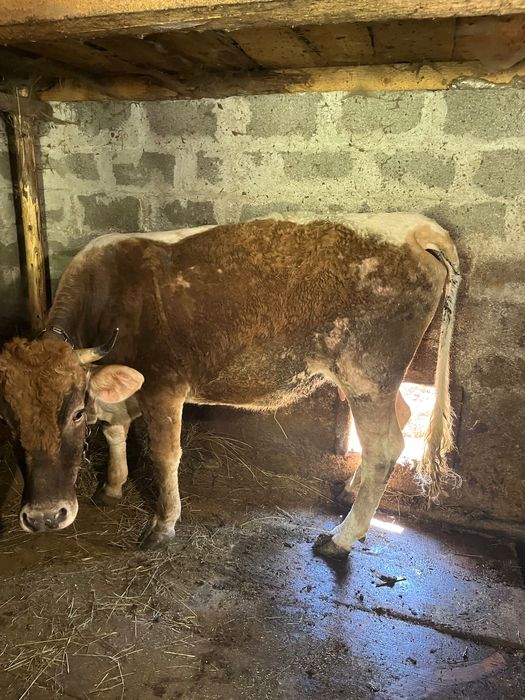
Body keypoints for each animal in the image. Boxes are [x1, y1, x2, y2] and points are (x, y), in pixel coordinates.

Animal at [0, 214, 460, 558]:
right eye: (7, 421)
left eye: (76, 412)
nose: (44, 517)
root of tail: (417, 228)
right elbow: (116, 431)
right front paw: (112, 486)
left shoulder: (163, 385)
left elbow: (164, 455)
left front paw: (163, 524)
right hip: (368, 379)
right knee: (400, 417)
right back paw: (350, 489)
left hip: (368, 374)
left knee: (385, 447)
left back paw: (341, 537)